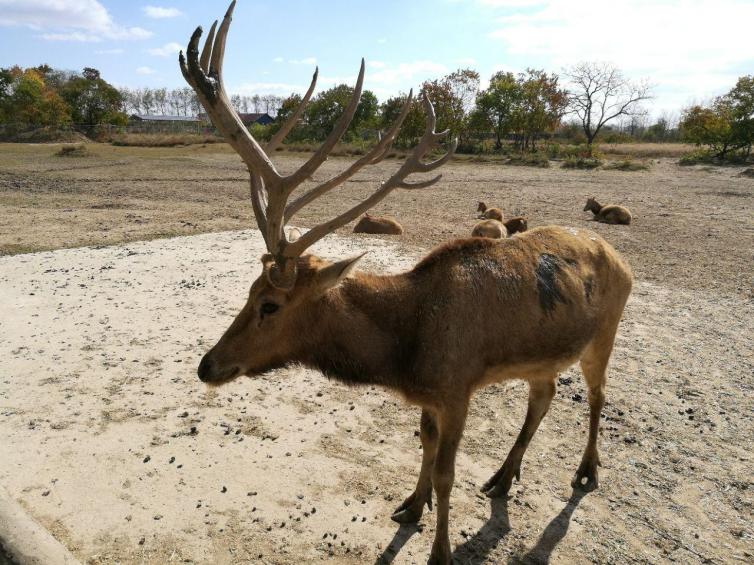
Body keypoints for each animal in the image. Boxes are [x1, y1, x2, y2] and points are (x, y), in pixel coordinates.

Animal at [181, 2, 628, 560]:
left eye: (270, 305)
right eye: (247, 291)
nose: (207, 365)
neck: (405, 354)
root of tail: (619, 256)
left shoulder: (458, 388)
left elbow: (446, 474)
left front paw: (439, 549)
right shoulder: (431, 400)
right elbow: (424, 448)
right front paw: (411, 506)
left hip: (605, 332)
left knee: (598, 395)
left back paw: (586, 472)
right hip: (544, 353)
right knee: (543, 394)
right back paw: (503, 477)